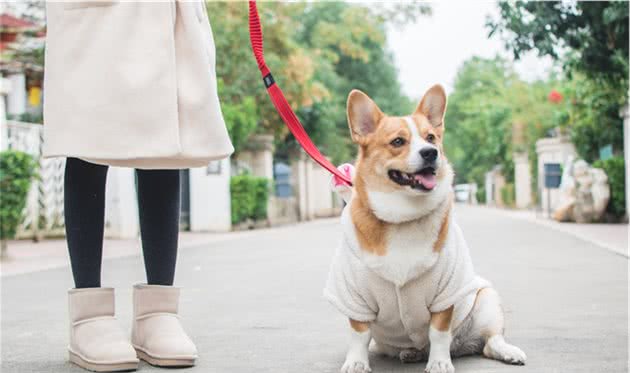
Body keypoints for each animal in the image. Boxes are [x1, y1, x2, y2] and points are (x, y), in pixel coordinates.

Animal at [326, 85, 528, 372]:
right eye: (398, 142)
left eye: (431, 137)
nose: (431, 152)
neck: (401, 216)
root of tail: (462, 347)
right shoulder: (354, 297)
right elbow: (359, 334)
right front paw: (356, 361)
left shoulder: (446, 294)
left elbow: (439, 333)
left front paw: (440, 363)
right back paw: (411, 353)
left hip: (486, 300)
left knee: (490, 341)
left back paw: (506, 351)